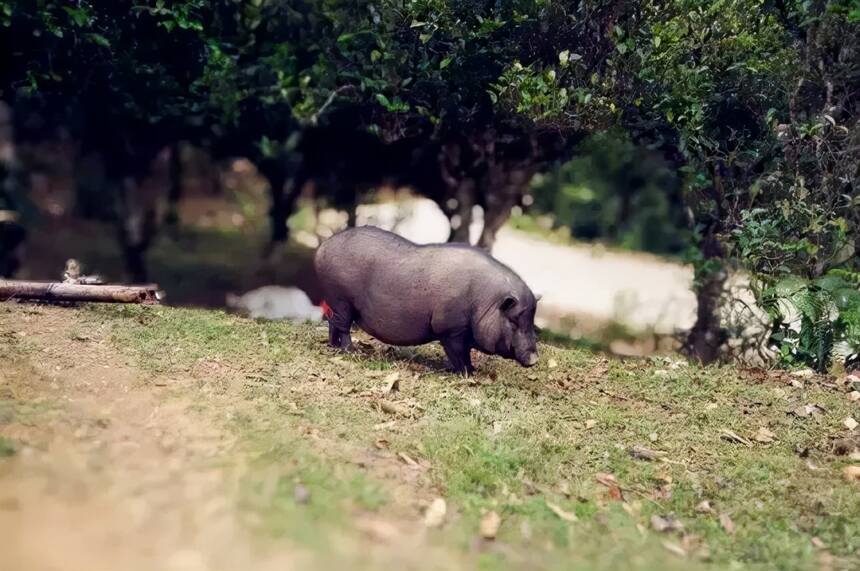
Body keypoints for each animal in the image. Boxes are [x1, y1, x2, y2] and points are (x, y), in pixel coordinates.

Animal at [312, 226, 540, 374]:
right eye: (514, 320)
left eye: (532, 321)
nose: (534, 359)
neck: (485, 301)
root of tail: (323, 246)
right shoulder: (450, 330)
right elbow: (458, 353)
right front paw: (467, 373)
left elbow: (464, 353)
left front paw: (472, 370)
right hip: (341, 299)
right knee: (342, 326)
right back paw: (351, 350)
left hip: (337, 303)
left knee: (333, 324)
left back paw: (334, 347)